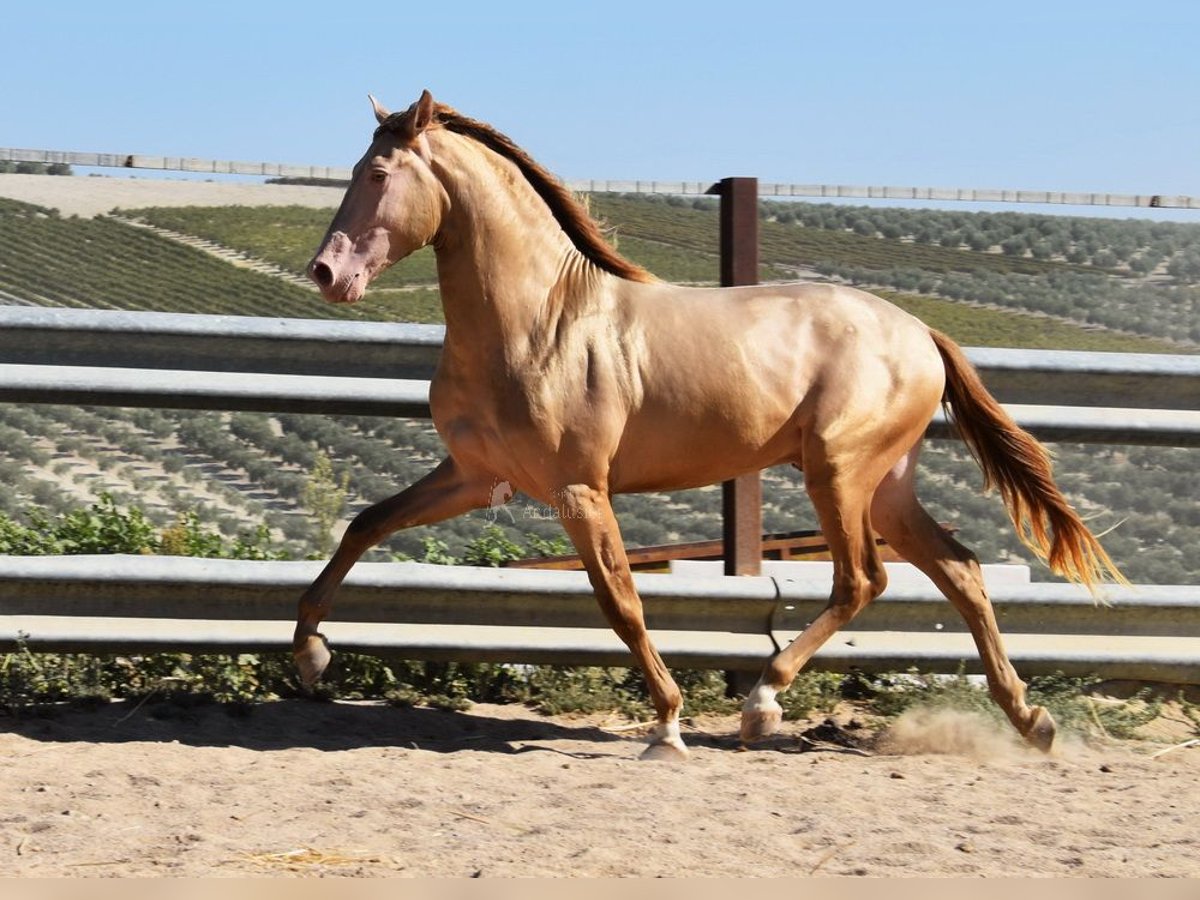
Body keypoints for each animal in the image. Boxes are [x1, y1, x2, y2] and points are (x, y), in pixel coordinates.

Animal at [292, 91, 1123, 758]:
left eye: (377, 175)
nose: (327, 274)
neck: (536, 322)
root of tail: (920, 334)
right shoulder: (473, 476)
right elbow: (365, 524)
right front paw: (310, 655)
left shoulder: (579, 490)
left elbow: (621, 602)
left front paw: (667, 724)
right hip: (884, 485)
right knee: (961, 571)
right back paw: (1032, 722)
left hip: (838, 472)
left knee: (864, 578)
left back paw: (763, 704)